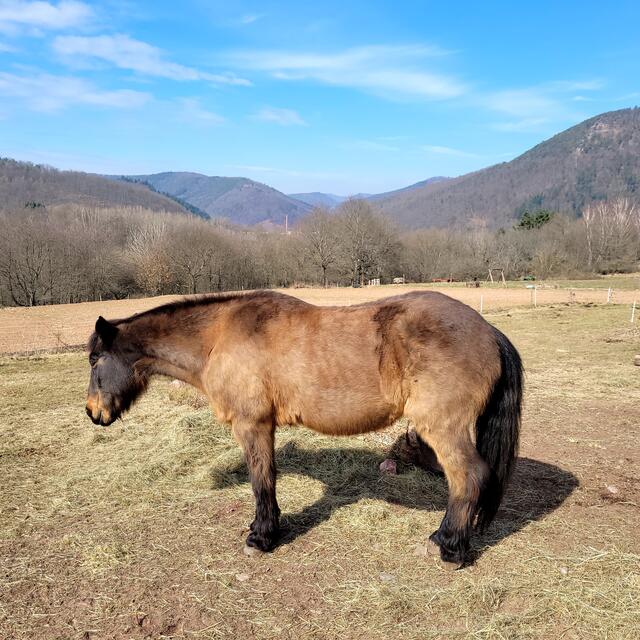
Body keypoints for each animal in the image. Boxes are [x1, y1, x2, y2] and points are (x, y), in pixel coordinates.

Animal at [85, 290, 523, 569]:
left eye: (94, 360)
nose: (92, 412)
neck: (219, 336)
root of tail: (488, 331)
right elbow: (268, 477)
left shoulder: (252, 424)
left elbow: (261, 479)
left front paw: (261, 538)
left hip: (445, 429)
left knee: (468, 478)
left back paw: (447, 547)